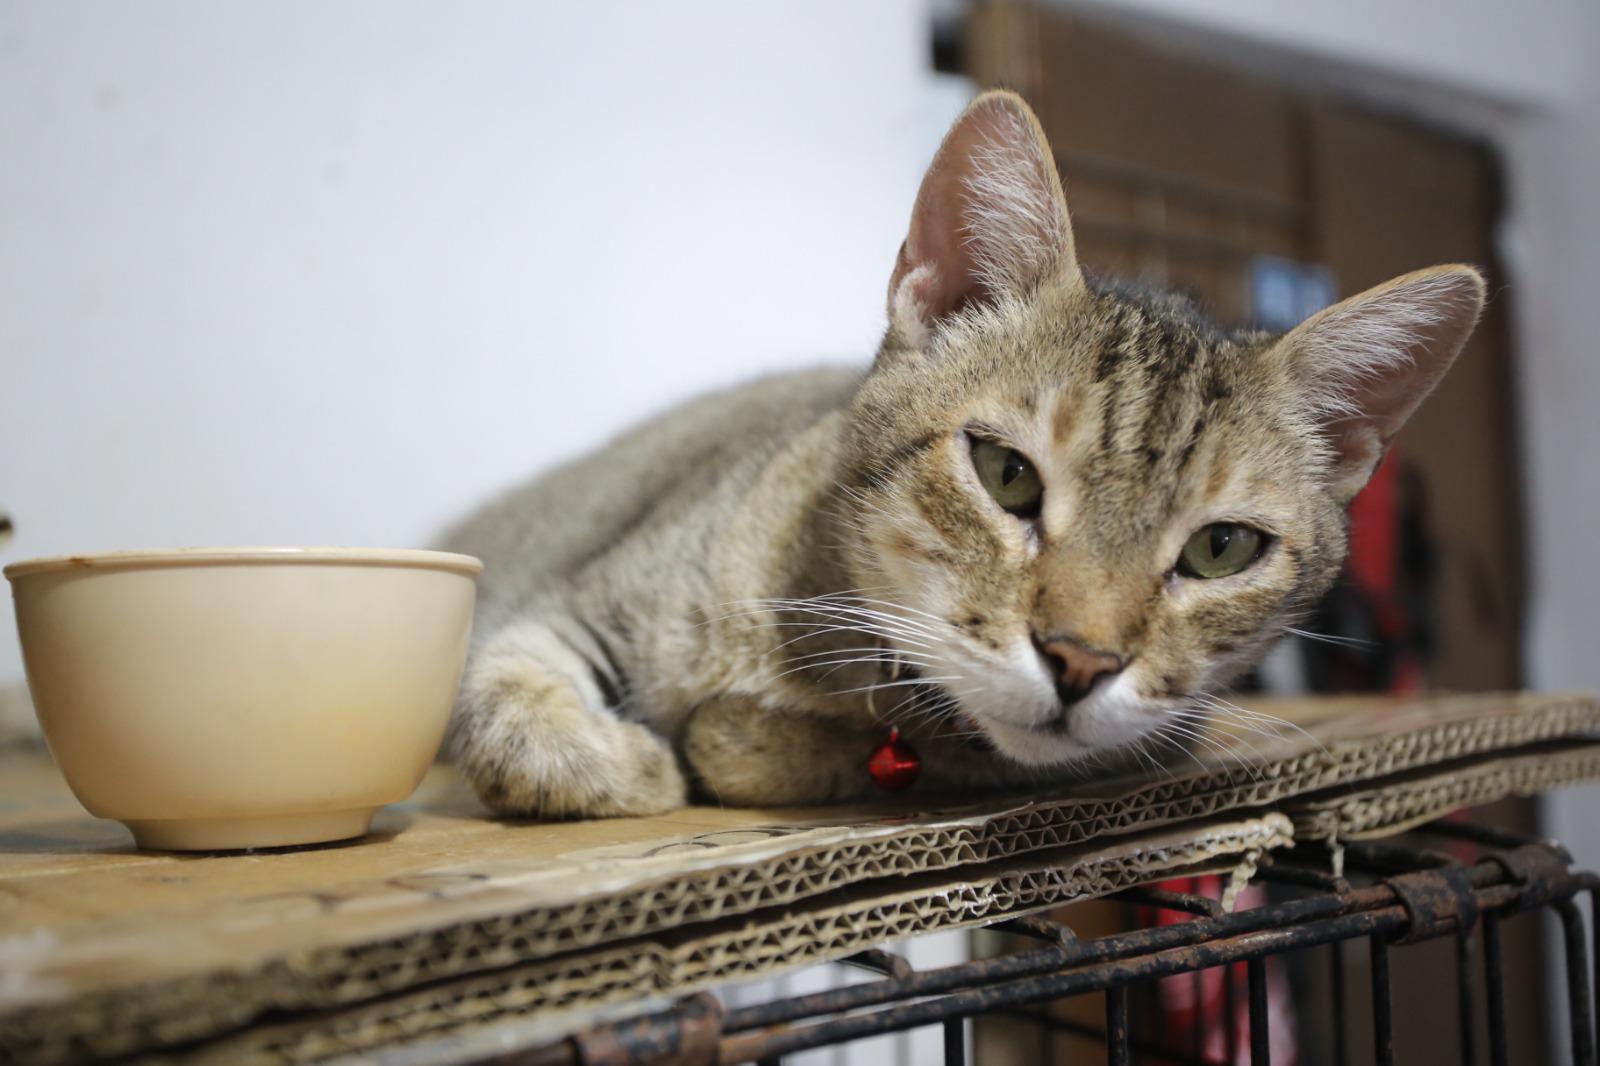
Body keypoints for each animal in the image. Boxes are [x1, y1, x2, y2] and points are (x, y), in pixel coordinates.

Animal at [441, 93, 1484, 819]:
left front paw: (733, 744)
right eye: (1007, 475)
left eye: (1221, 549)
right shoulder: (572, 598)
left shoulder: (1151, 736)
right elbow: (514, 709)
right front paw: (634, 762)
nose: (1079, 662)